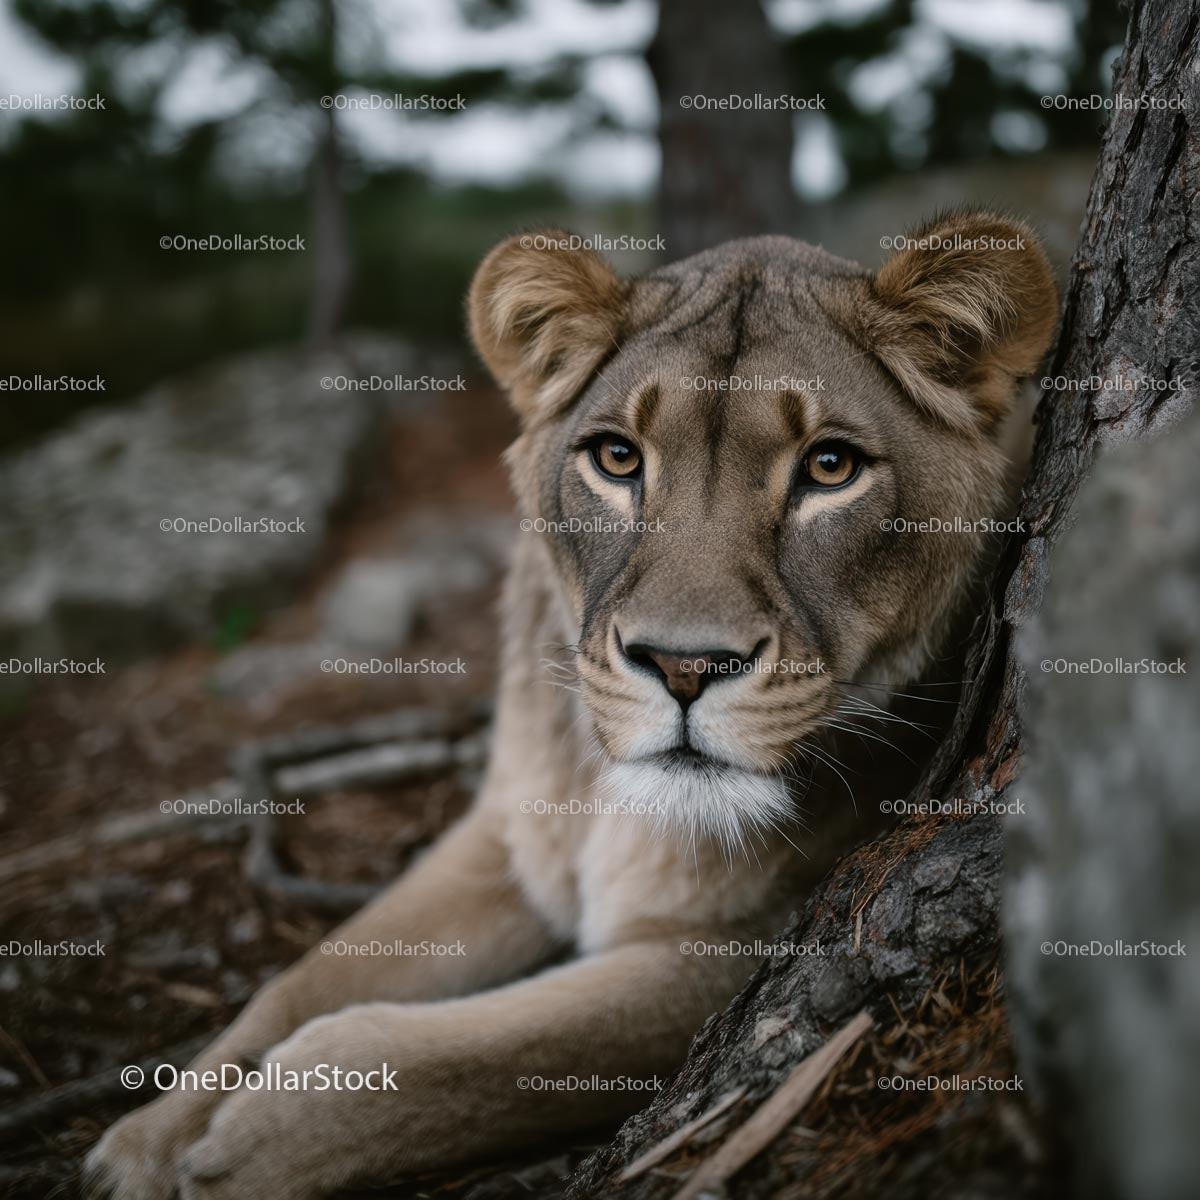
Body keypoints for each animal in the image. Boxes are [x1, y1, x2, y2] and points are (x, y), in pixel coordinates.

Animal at [86, 211, 1057, 1198]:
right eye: (617, 458)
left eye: (830, 467)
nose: (683, 666)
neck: (608, 802)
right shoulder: (509, 840)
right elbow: (306, 979)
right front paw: (150, 1136)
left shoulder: (741, 948)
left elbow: (482, 1058)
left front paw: (247, 1143)